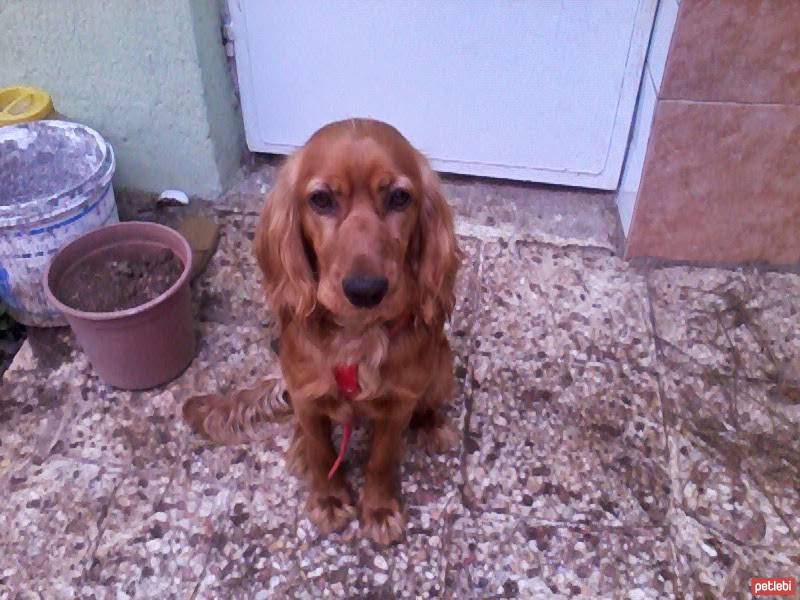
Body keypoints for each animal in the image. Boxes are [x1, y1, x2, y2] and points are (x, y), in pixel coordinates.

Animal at [186, 119, 456, 548]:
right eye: (322, 200)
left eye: (400, 197)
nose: (366, 290)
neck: (355, 335)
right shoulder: (306, 394)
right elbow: (321, 450)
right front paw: (329, 499)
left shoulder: (397, 403)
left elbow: (382, 459)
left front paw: (379, 509)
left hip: (442, 364)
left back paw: (431, 424)